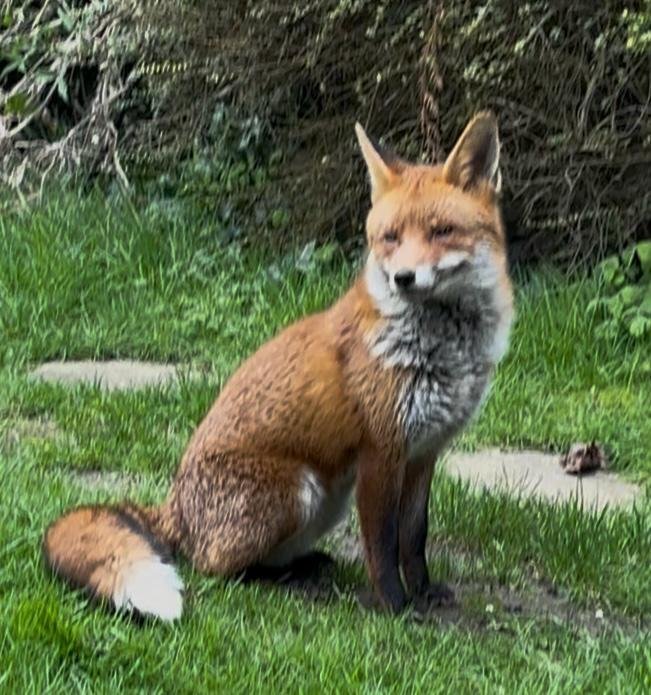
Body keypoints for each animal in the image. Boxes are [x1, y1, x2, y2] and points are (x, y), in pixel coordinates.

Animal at [43, 111, 513, 621]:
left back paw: (305, 565)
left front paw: (424, 592)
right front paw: (395, 606)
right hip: (300, 489)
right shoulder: (380, 451)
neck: (445, 349)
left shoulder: (425, 452)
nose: (402, 278)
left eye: (441, 231)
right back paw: (278, 578)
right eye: (390, 238)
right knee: (214, 567)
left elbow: (414, 536)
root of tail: (173, 511)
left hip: (329, 499)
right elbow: (382, 545)